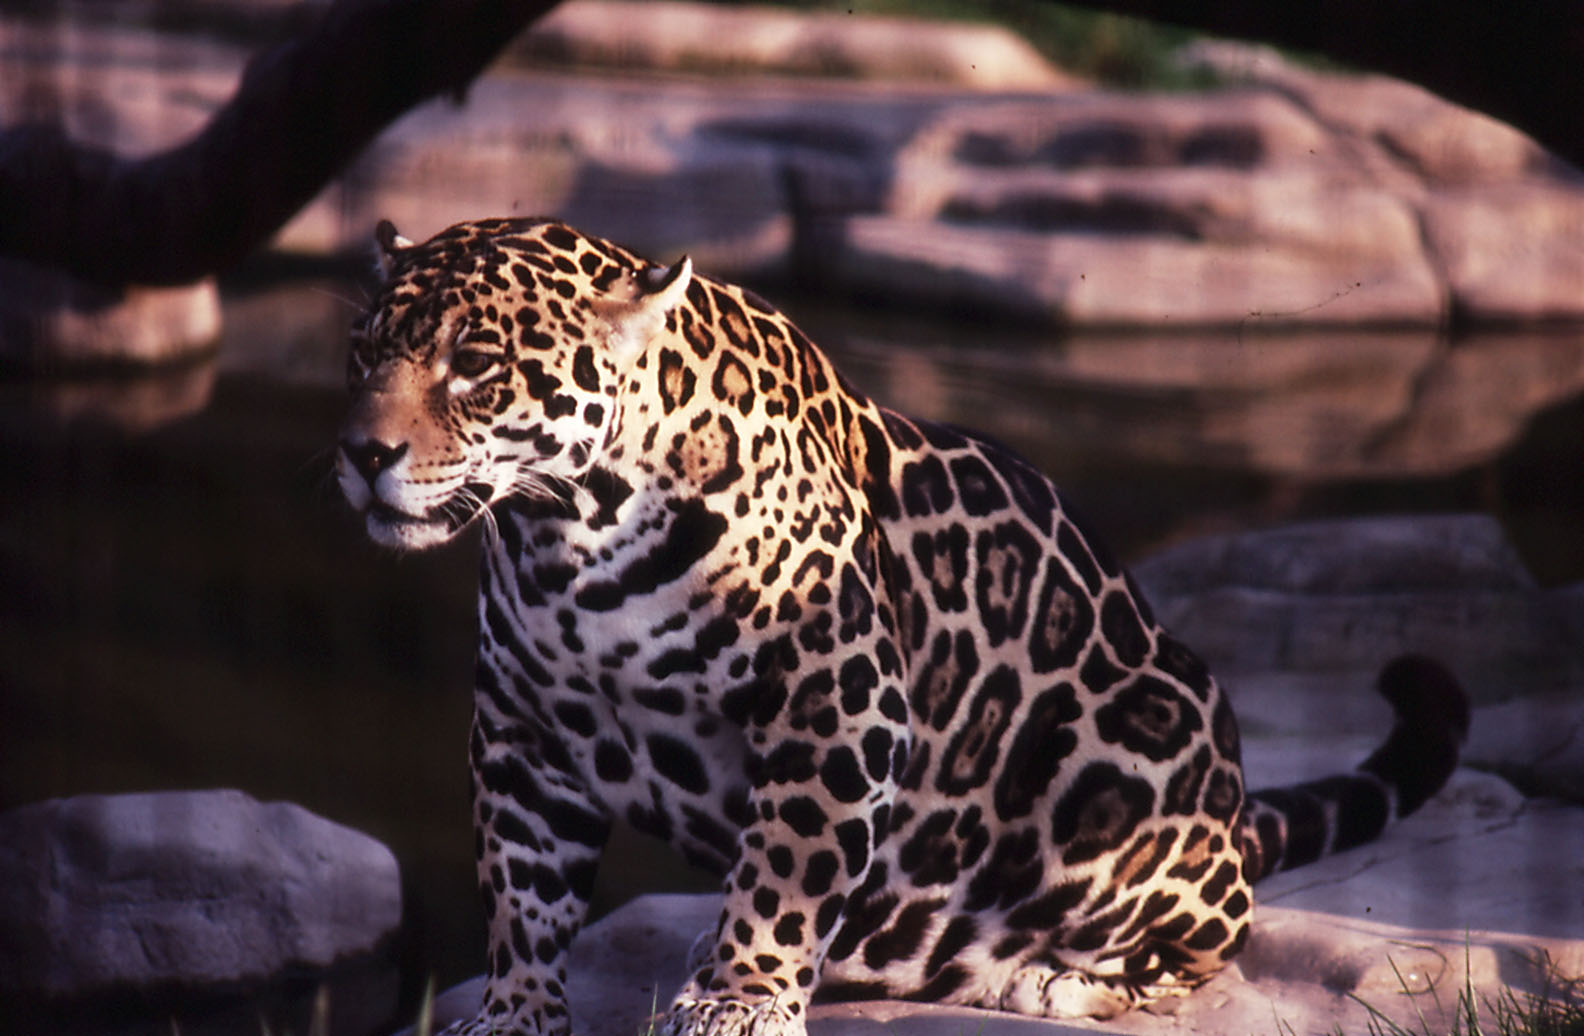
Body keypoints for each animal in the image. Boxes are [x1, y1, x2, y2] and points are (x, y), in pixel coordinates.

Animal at [336, 216, 1469, 1036]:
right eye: (362, 356)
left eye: (477, 366)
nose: (361, 453)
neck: (569, 541)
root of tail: (1234, 815)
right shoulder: (523, 729)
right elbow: (523, 889)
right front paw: (516, 1012)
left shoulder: (833, 700)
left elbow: (785, 864)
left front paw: (739, 999)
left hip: (1145, 736)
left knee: (1210, 934)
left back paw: (1055, 983)